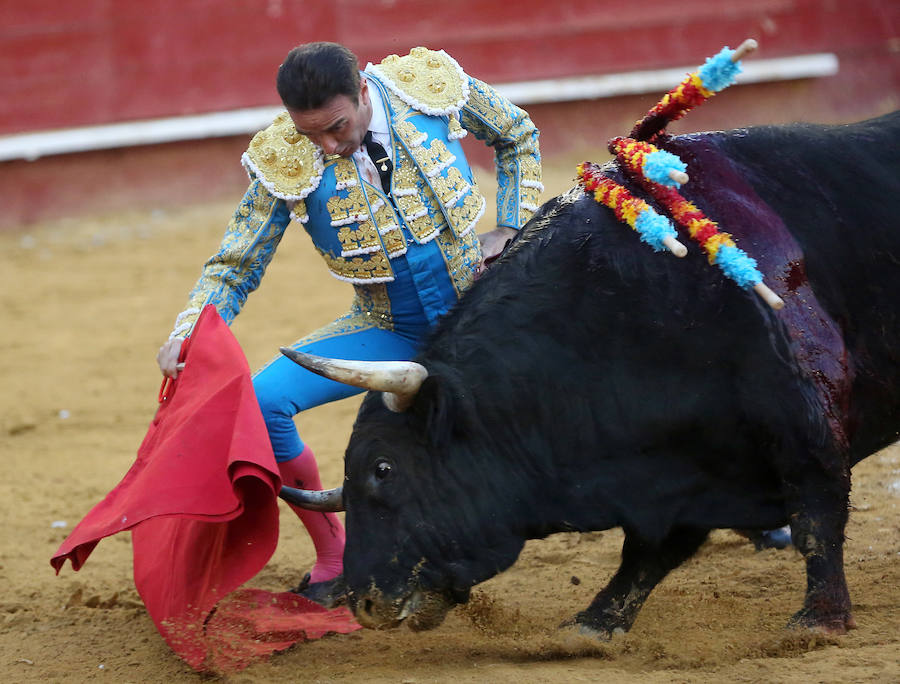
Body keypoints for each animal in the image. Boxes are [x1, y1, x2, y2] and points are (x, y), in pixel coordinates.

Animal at [284, 109, 900, 640]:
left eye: (384, 469)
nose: (364, 602)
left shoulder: (804, 423)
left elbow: (817, 517)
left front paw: (819, 621)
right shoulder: (684, 472)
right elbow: (649, 553)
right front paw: (592, 626)